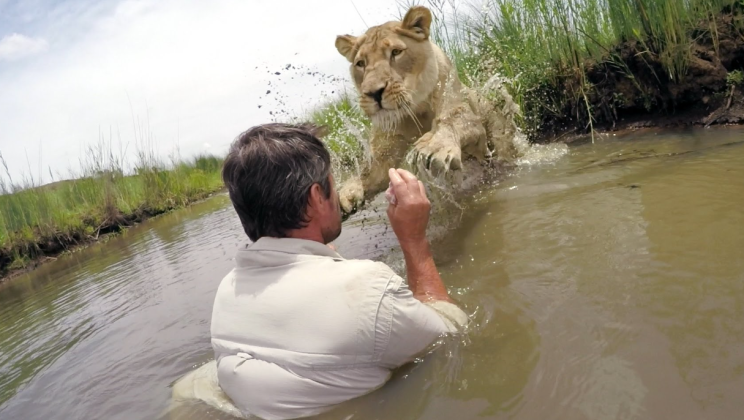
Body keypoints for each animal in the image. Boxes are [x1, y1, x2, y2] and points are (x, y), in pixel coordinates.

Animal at [334, 5, 522, 215]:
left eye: (396, 52)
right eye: (360, 63)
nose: (374, 93)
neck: (415, 110)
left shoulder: (469, 122)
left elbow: (452, 120)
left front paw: (434, 147)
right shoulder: (388, 143)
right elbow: (369, 170)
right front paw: (348, 192)